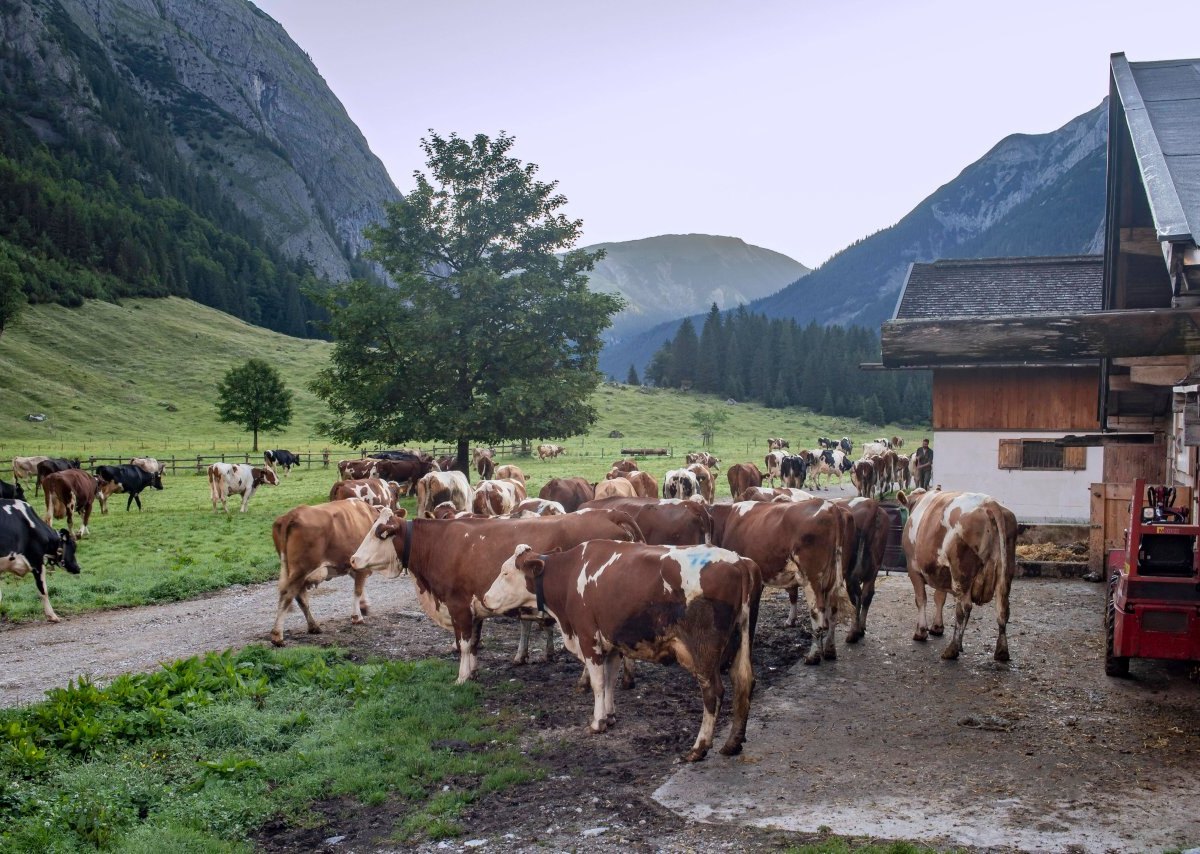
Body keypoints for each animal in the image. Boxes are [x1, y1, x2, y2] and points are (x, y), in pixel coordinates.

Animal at [271, 496, 384, 642]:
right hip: (301, 569)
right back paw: (277, 635)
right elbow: (358, 590)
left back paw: (313, 626)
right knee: (288, 594)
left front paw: (363, 607)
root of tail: (292, 514)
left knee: (300, 597)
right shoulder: (360, 565)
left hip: (293, 570)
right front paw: (357, 617)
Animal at [350, 506, 648, 681]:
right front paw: (473, 670)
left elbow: (464, 643)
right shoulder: (473, 609)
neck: (441, 543)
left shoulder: (458, 606)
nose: (353, 559)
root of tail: (608, 512)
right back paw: (626, 679)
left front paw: (462, 678)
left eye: (379, 533)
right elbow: (474, 642)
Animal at [480, 539, 753, 762]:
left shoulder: (589, 639)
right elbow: (610, 680)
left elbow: (598, 683)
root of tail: (738, 561)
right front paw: (609, 716)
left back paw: (699, 747)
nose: (484, 598)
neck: (569, 576)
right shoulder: (610, 645)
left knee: (713, 692)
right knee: (743, 684)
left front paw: (597, 722)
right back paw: (732, 743)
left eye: (505, 572)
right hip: (741, 641)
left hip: (704, 652)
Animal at [710, 501, 854, 666]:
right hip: (836, 576)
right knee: (833, 611)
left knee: (817, 611)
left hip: (812, 578)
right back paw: (830, 651)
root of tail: (831, 507)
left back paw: (813, 656)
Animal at [897, 489, 1017, 662]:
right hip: (1005, 572)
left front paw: (921, 632)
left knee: (964, 608)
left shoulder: (913, 569)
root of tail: (989, 503)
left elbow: (921, 600)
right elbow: (939, 598)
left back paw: (953, 648)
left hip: (961, 571)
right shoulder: (941, 572)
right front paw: (937, 627)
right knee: (1002, 609)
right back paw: (1001, 652)